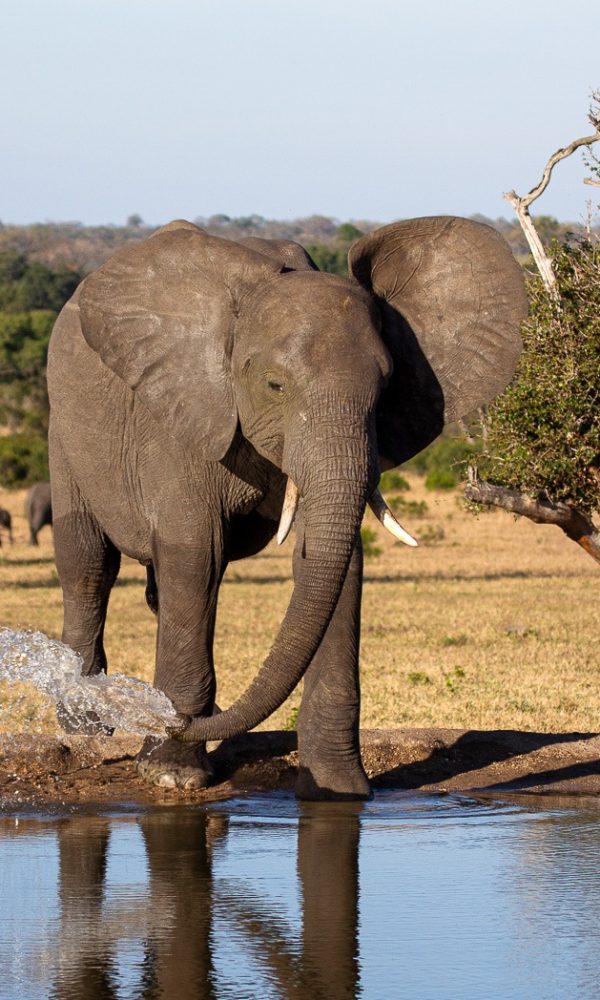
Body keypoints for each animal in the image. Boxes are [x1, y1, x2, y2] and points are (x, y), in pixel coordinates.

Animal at [46, 216, 527, 798]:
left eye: (387, 387)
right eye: (275, 384)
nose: (167, 718)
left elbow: (329, 563)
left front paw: (337, 790)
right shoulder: (181, 414)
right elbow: (195, 554)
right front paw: (173, 776)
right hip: (63, 428)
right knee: (89, 565)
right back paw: (85, 729)